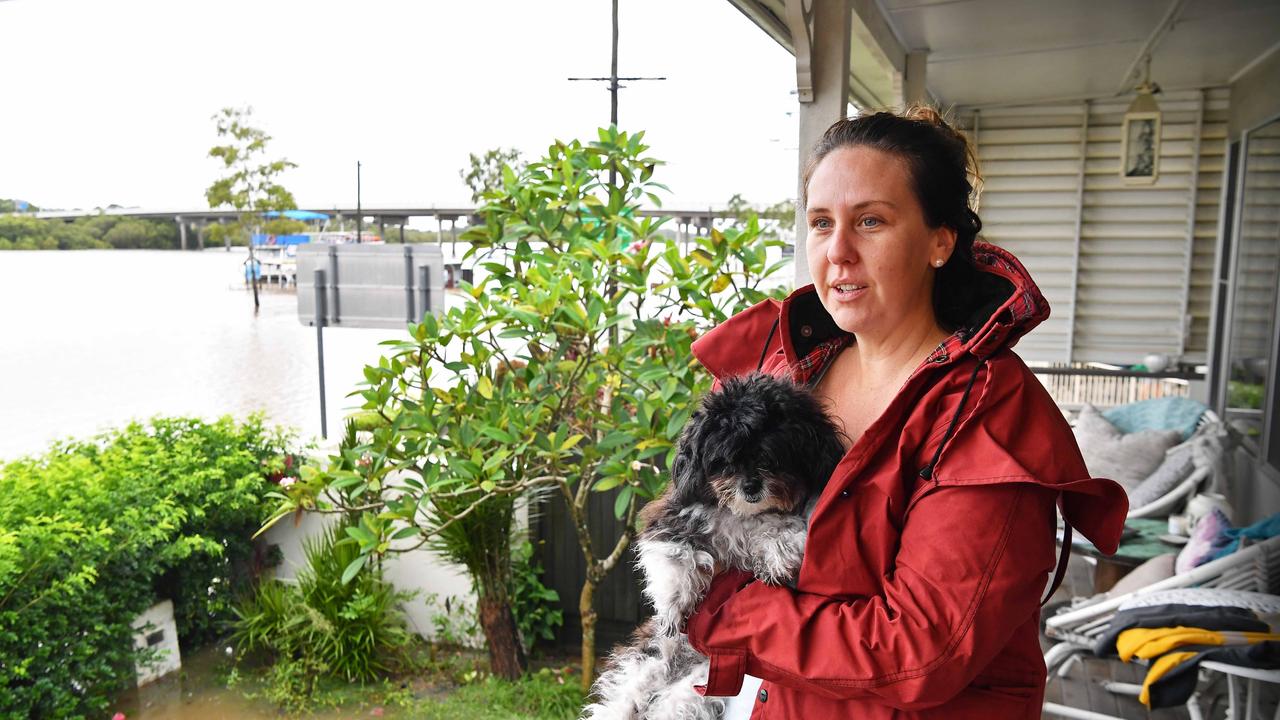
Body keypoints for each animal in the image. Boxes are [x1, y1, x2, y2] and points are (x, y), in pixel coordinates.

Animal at [586, 371, 844, 712]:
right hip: (644, 665)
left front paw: (776, 553)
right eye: (725, 460)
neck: (740, 513)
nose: (751, 486)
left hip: (690, 691)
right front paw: (673, 605)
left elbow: (780, 527)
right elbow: (675, 558)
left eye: (773, 457)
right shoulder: (672, 518)